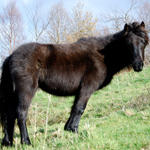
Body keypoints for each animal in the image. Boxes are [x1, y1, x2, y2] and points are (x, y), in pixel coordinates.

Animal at [0, 21, 149, 145]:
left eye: (144, 42)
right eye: (128, 43)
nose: (138, 65)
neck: (104, 56)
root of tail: (11, 57)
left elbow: (74, 108)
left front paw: (68, 128)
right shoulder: (87, 88)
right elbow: (79, 108)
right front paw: (74, 129)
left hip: (12, 95)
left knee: (9, 116)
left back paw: (8, 142)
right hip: (26, 91)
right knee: (21, 114)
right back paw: (26, 141)